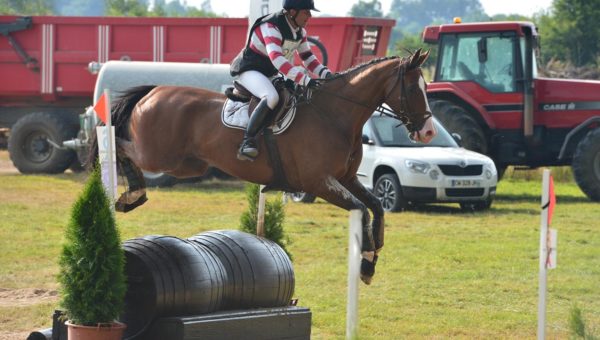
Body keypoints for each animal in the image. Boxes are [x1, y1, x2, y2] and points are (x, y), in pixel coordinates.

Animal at [109, 48, 436, 284]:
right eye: (413, 89)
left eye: (426, 87)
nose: (428, 132)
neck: (335, 115)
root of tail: (154, 91)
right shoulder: (319, 183)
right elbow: (362, 209)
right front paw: (366, 259)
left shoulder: (346, 178)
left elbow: (376, 207)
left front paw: (372, 256)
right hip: (160, 156)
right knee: (120, 143)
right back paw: (131, 193)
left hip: (188, 165)